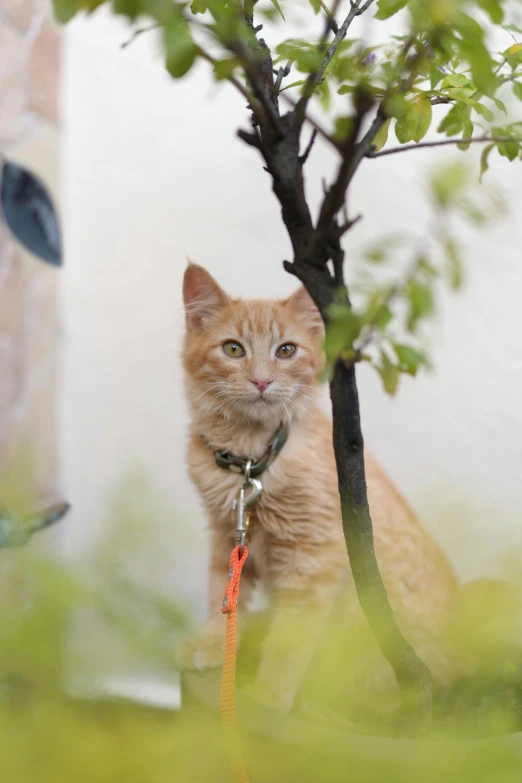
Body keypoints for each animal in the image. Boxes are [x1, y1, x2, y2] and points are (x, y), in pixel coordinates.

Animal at [178, 264, 460, 716]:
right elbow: (223, 598)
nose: (261, 380)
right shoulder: (227, 534)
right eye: (233, 349)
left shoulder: (313, 556)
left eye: (286, 350)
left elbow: (290, 640)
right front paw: (212, 644)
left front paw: (268, 697)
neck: (250, 458)